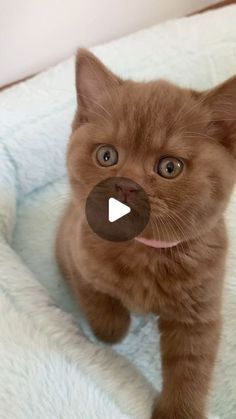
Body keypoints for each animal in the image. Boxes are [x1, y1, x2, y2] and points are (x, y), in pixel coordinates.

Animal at [55, 50, 236, 419]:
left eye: (169, 167)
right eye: (106, 155)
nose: (126, 185)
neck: (142, 252)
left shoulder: (199, 313)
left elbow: (191, 365)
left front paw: (178, 411)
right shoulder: (74, 248)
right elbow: (95, 295)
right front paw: (111, 329)